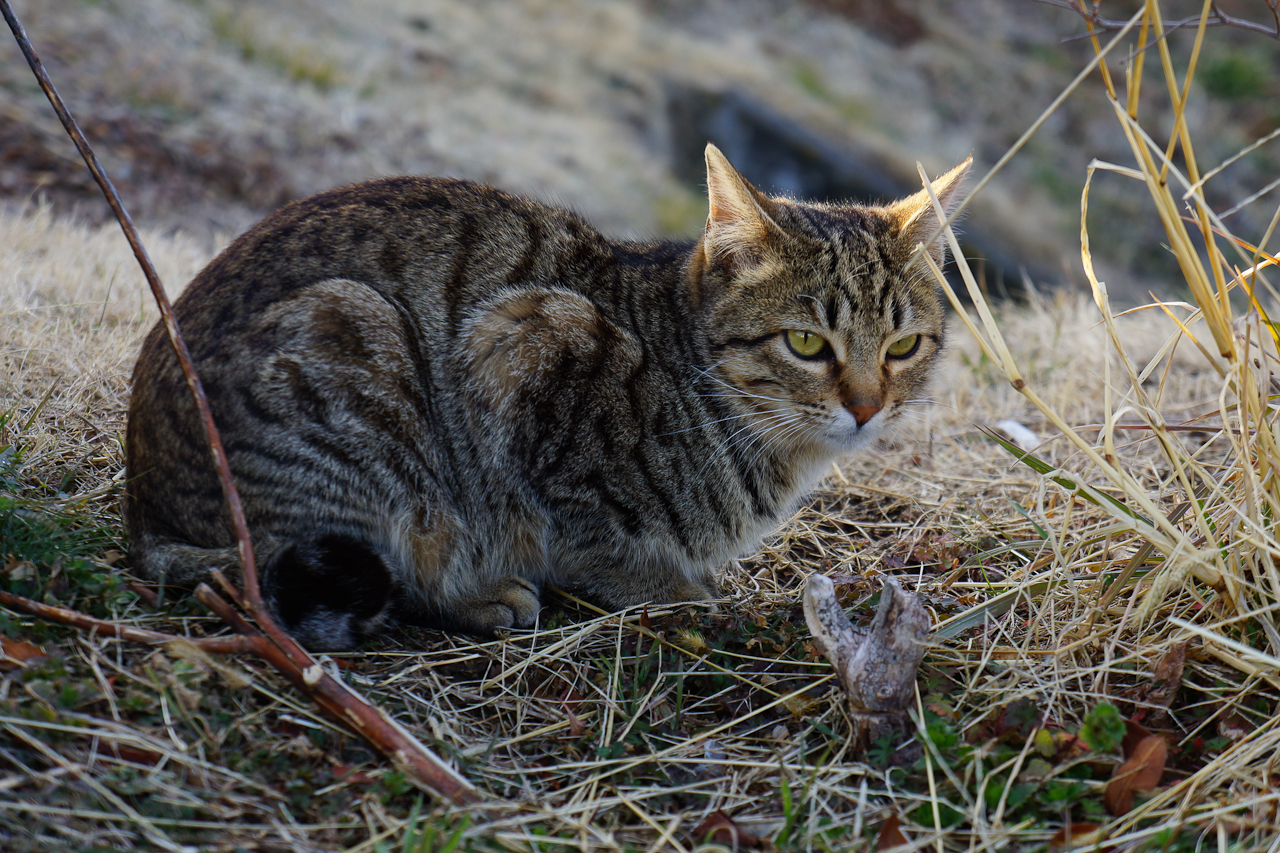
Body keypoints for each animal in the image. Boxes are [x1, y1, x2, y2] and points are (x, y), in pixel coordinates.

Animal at [124, 143, 968, 651]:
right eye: (806, 344)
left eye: (902, 348)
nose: (867, 407)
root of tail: (144, 512)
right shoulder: (529, 342)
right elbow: (590, 534)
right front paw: (673, 585)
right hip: (359, 342)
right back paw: (479, 594)